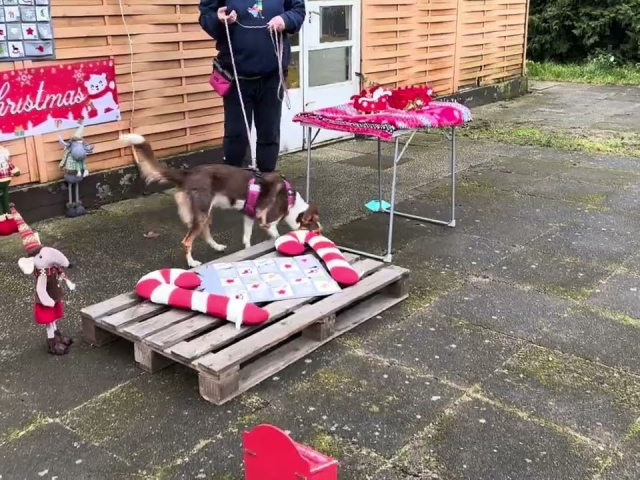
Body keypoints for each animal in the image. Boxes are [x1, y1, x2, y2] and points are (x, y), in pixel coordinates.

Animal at [120, 133, 320, 267]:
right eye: (315, 231)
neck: (290, 199)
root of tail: (188, 173)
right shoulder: (267, 222)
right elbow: (276, 235)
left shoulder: (249, 216)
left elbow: (247, 238)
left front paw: (248, 251)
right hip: (201, 212)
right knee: (187, 241)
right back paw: (192, 262)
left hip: (205, 213)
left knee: (205, 232)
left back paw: (217, 247)